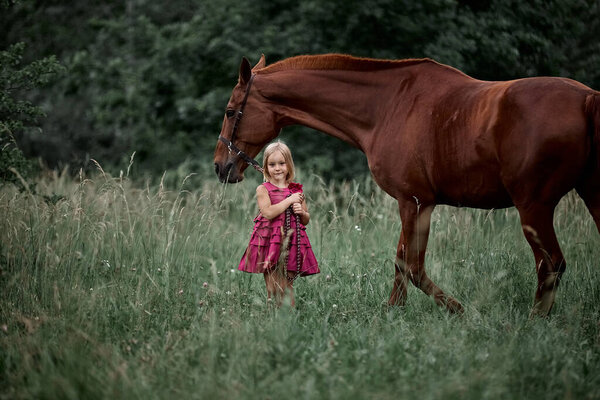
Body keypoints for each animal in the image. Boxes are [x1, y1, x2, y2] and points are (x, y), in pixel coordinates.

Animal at [213, 54, 596, 316]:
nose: (221, 166)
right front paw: (395, 311)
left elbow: (410, 265)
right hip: (591, 196)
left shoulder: (411, 201)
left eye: (231, 111)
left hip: (534, 207)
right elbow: (405, 262)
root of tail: (588, 98)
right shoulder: (420, 203)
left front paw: (455, 310)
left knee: (551, 264)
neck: (387, 106)